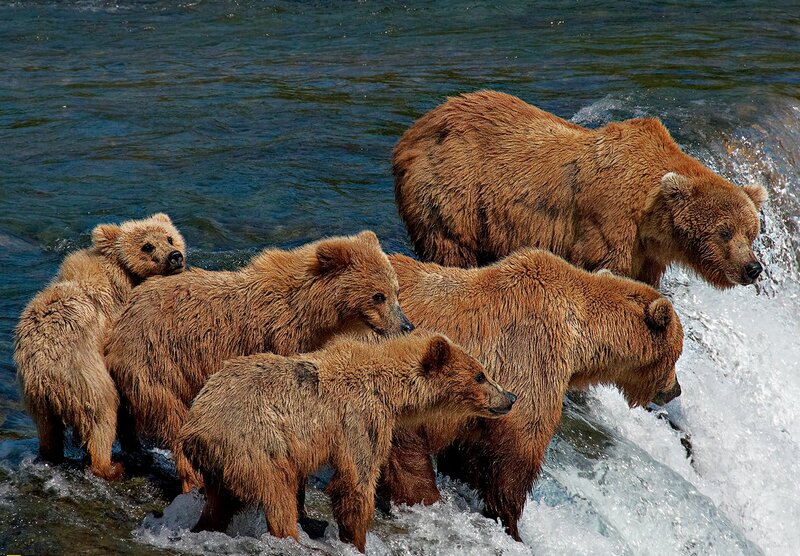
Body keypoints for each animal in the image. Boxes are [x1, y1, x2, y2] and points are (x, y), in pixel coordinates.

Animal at [14, 213, 186, 480]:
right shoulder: (116, 320)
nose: (175, 256)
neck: (124, 278)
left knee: (48, 431)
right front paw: (137, 449)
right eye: (147, 246)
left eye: (169, 237)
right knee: (102, 414)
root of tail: (43, 368)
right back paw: (110, 466)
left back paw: (50, 456)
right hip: (85, 378)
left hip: (34, 397)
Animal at [105, 230, 415, 493]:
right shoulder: (280, 337)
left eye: (396, 291)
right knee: (171, 415)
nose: (406, 326)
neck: (312, 310)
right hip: (159, 357)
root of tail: (122, 317)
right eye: (378, 296)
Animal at [176, 331, 516, 553]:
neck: (390, 389)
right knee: (279, 495)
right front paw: (357, 540)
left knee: (219, 505)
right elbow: (357, 480)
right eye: (480, 375)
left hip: (221, 464)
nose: (510, 397)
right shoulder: (360, 417)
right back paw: (290, 538)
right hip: (254, 446)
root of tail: (193, 427)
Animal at [380, 250, 684, 541]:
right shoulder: (530, 359)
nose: (676, 390)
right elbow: (516, 454)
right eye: (676, 355)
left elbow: (467, 455)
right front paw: (511, 526)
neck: (579, 339)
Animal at [393, 90, 768, 288]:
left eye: (751, 232)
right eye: (724, 231)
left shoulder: (646, 253)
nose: (753, 268)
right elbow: (602, 267)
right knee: (450, 245)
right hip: (455, 191)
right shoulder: (609, 223)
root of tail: (413, 131)